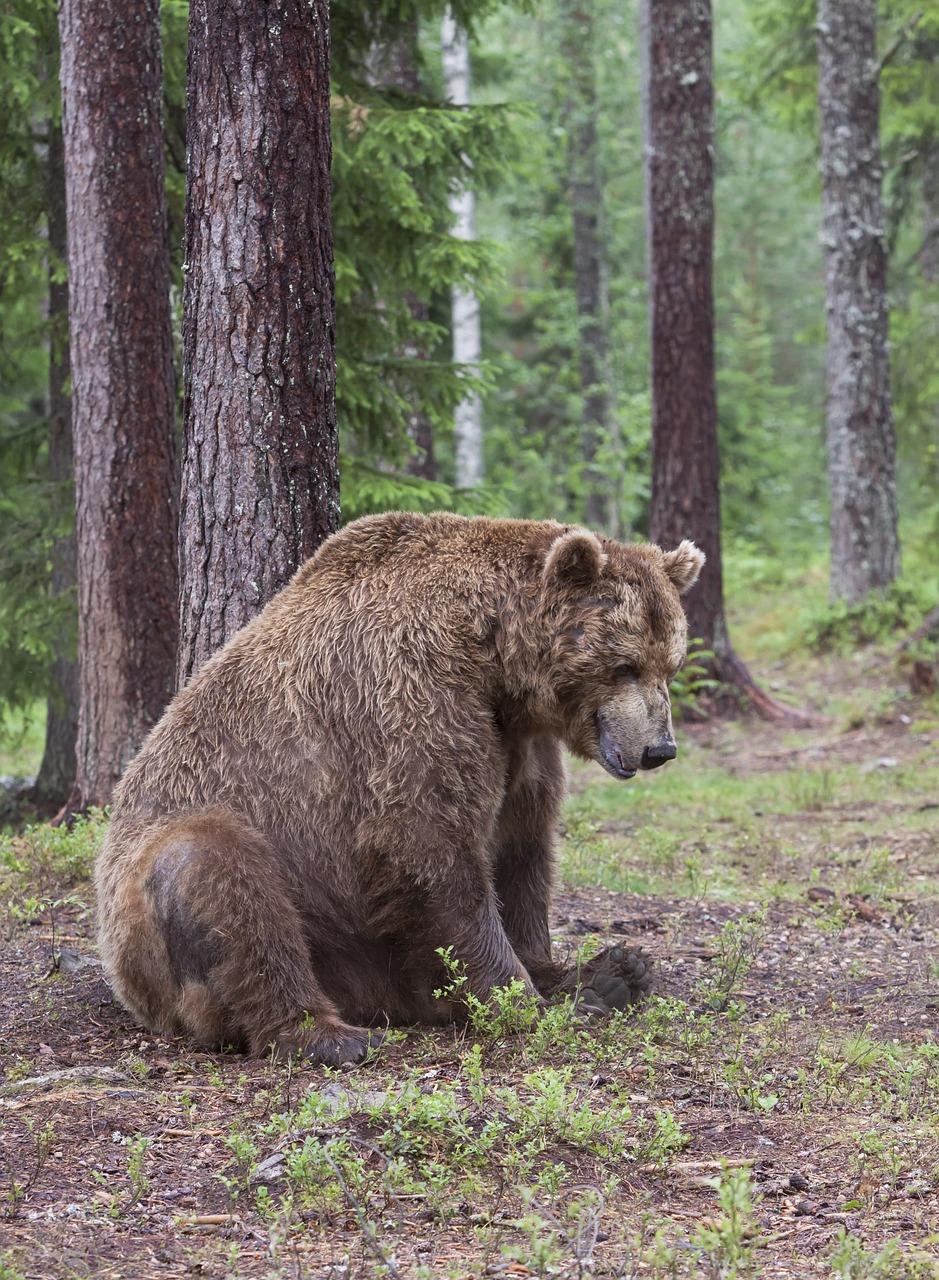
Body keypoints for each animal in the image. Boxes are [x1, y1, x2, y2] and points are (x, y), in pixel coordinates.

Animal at [95, 509, 701, 1059]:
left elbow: (523, 846)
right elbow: (427, 843)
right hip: (189, 889)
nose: (660, 749)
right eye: (625, 665)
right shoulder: (412, 695)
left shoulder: (517, 744)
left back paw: (615, 973)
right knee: (217, 878)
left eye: (669, 666)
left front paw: (561, 974)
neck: (494, 659)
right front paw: (527, 1000)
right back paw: (328, 1035)